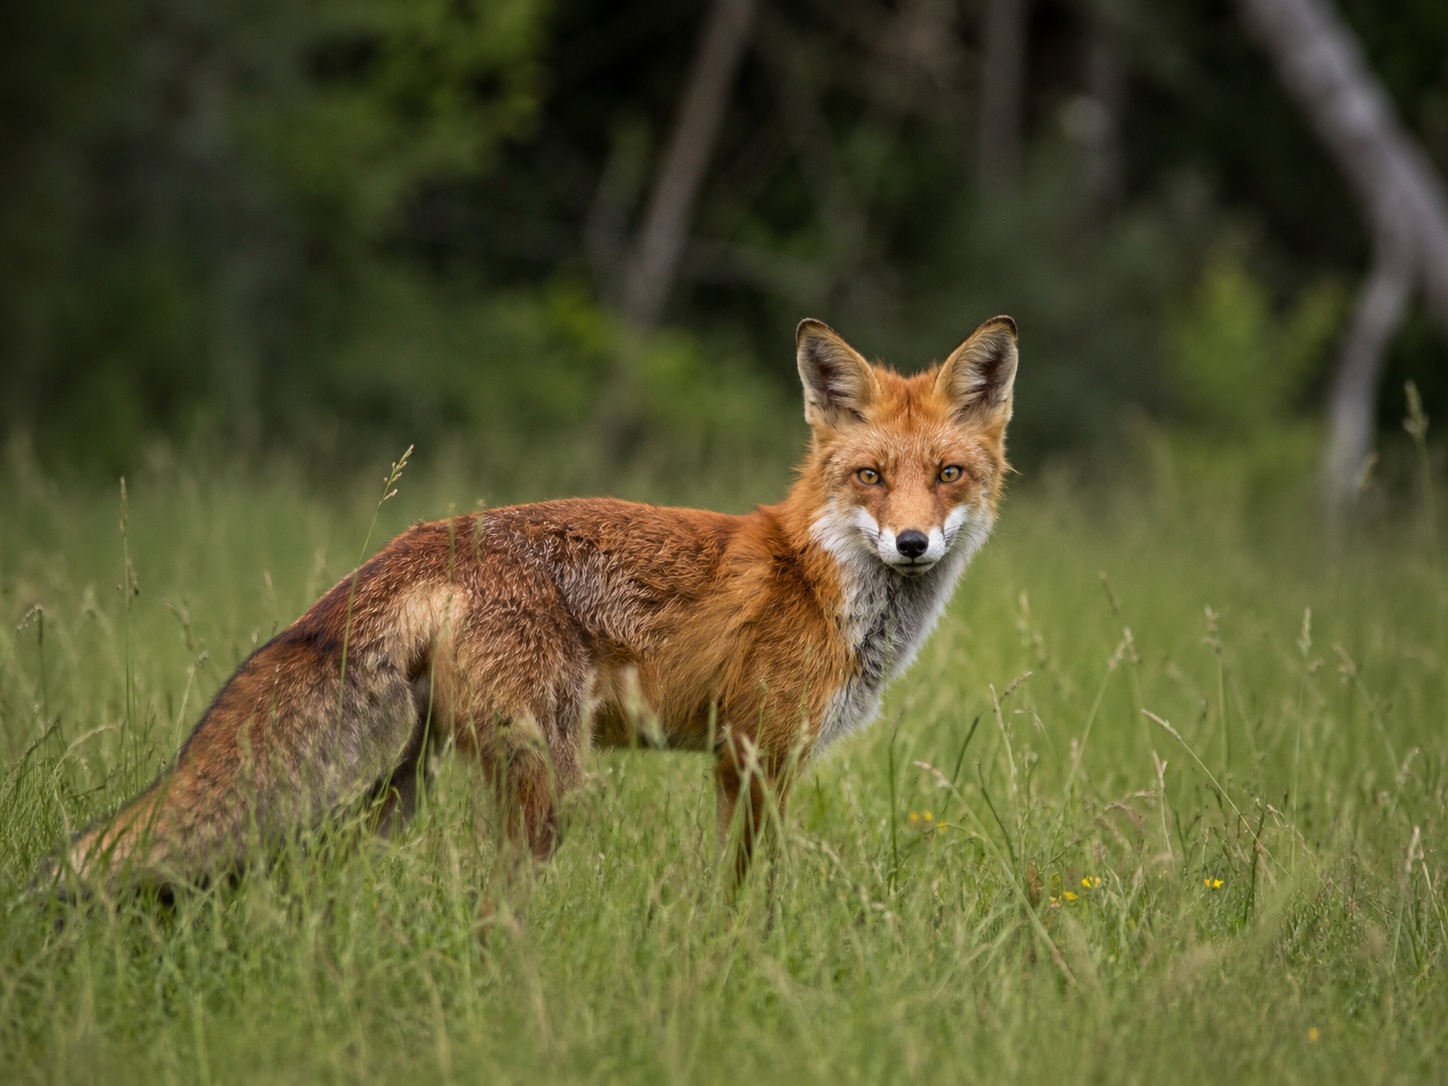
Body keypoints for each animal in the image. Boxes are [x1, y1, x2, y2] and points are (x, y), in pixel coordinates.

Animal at [51, 315, 1018, 898]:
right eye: (871, 477)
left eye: (947, 475)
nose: (912, 543)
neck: (817, 579)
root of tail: (423, 537)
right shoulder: (753, 753)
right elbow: (747, 889)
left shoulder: (750, 759)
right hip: (544, 779)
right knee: (496, 898)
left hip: (399, 783)